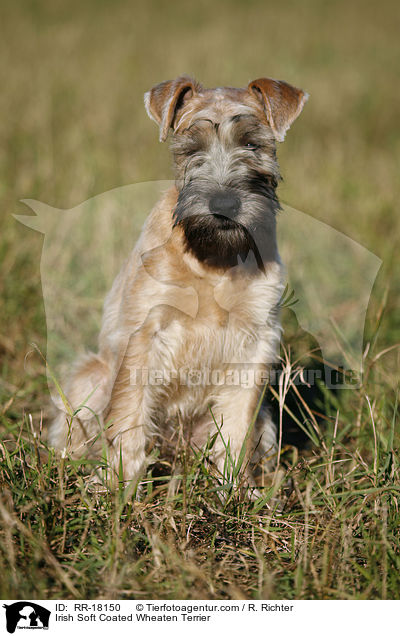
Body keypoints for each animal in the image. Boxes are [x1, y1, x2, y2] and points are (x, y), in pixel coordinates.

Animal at [49, 76, 306, 492]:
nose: (223, 204)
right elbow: (129, 415)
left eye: (253, 144)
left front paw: (235, 489)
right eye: (191, 149)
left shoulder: (255, 341)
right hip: (90, 378)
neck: (214, 259)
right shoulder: (144, 333)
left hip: (265, 423)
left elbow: (237, 425)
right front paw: (118, 485)